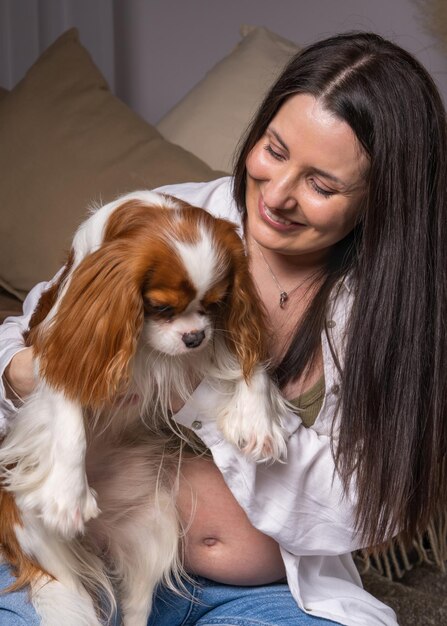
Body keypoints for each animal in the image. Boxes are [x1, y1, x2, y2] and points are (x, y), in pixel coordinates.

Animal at [0, 190, 290, 624]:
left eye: (216, 304)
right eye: (162, 308)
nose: (194, 338)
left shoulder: (224, 334)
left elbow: (251, 363)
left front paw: (259, 425)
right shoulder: (65, 344)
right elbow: (69, 418)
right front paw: (68, 494)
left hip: (151, 529)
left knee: (136, 604)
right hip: (30, 526)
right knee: (70, 591)